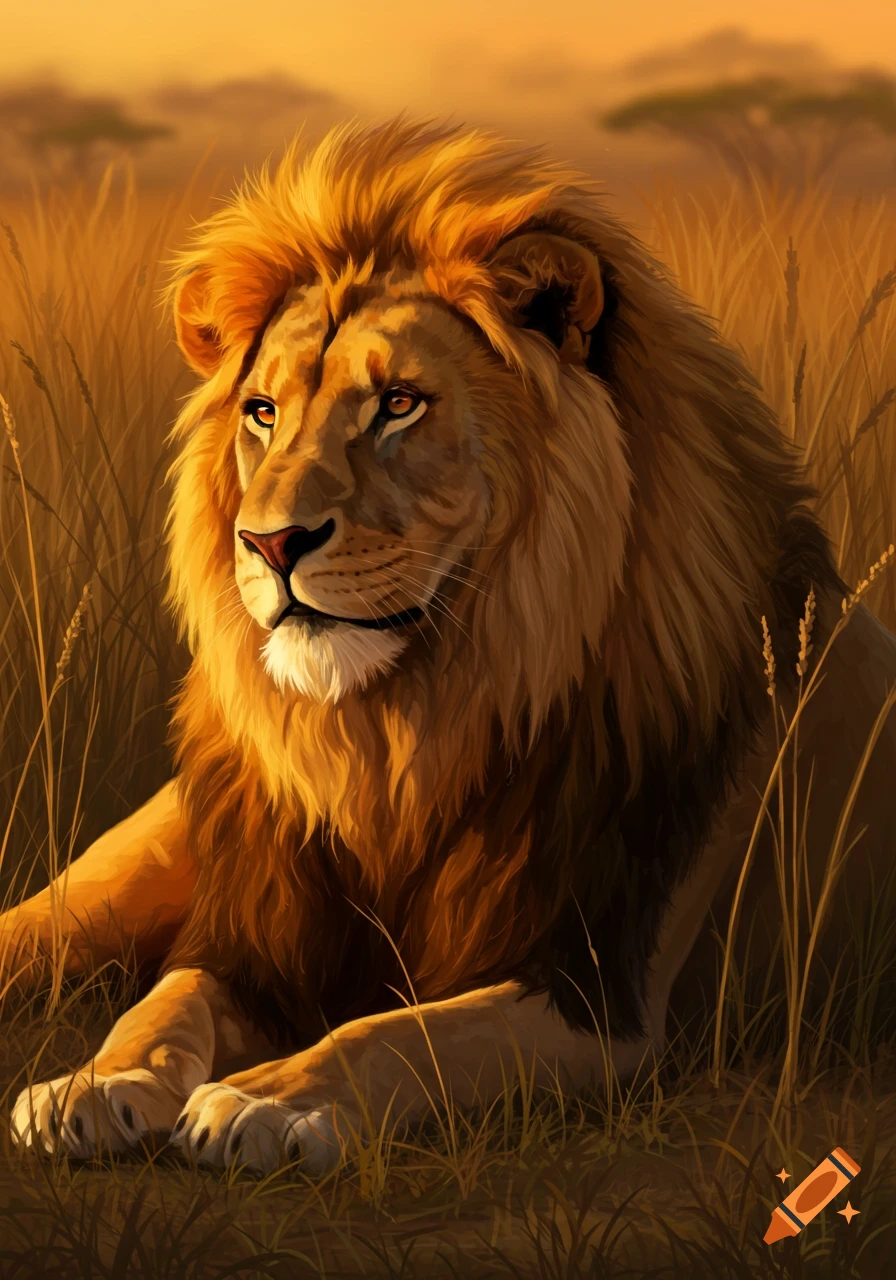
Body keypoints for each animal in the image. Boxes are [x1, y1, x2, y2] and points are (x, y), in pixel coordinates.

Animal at [4, 117, 896, 1174]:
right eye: (263, 412)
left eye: (398, 403)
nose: (268, 543)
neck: (407, 735)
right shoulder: (253, 941)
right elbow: (164, 1002)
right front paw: (96, 1083)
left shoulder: (600, 996)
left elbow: (398, 1033)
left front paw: (268, 1098)